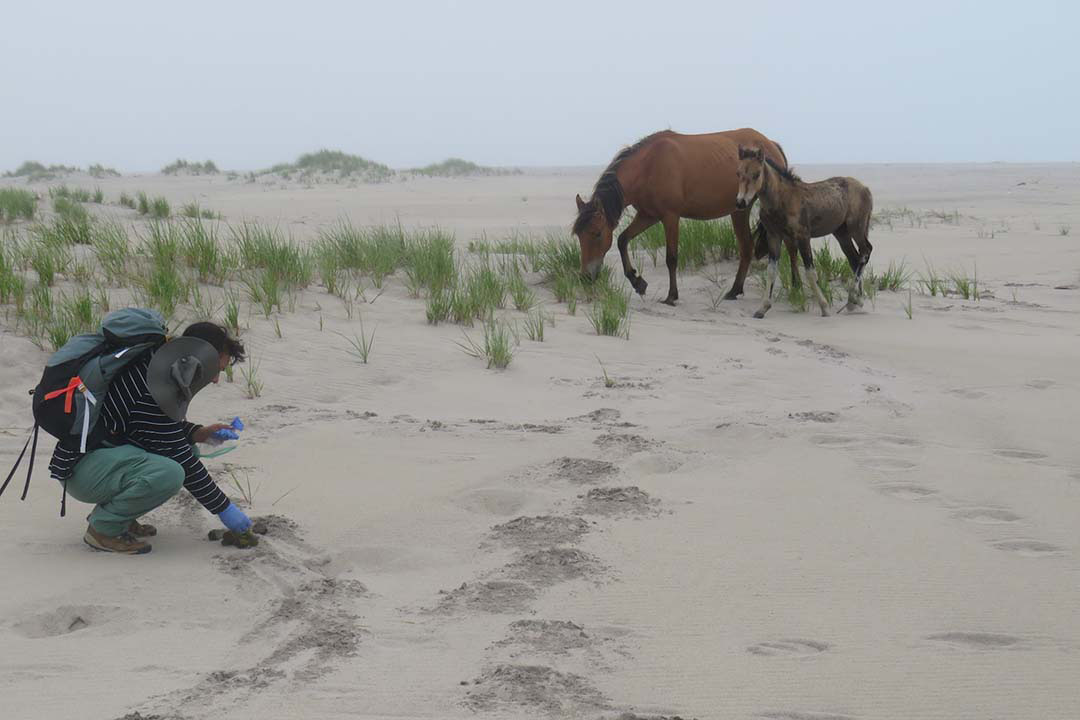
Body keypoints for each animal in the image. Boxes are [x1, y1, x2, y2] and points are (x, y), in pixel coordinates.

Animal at [570, 129, 799, 304]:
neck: (648, 166)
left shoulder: (670, 217)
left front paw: (671, 296)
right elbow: (622, 240)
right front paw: (638, 282)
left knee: (781, 244)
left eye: (597, 233)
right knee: (747, 248)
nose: (585, 277)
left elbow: (671, 258)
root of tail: (771, 144)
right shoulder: (648, 215)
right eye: (579, 236)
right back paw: (735, 291)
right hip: (739, 211)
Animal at [734, 146, 876, 317]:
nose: (741, 202)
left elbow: (810, 272)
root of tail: (865, 188)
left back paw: (852, 300)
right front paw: (762, 308)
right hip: (841, 233)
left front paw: (824, 307)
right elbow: (771, 271)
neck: (782, 199)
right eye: (738, 173)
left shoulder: (803, 237)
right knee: (854, 259)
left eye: (756, 174)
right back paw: (856, 301)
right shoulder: (774, 236)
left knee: (865, 251)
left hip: (857, 227)